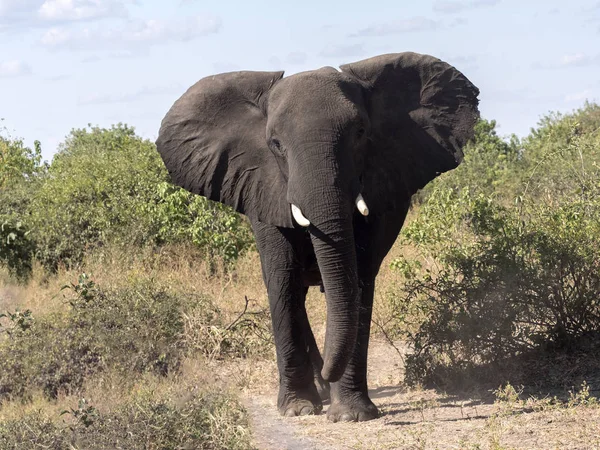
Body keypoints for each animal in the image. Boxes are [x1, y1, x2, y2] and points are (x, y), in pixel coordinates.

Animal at [155, 51, 478, 422]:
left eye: (361, 132)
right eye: (275, 144)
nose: (327, 373)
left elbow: (357, 277)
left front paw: (351, 414)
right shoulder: (261, 186)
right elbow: (282, 277)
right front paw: (297, 409)